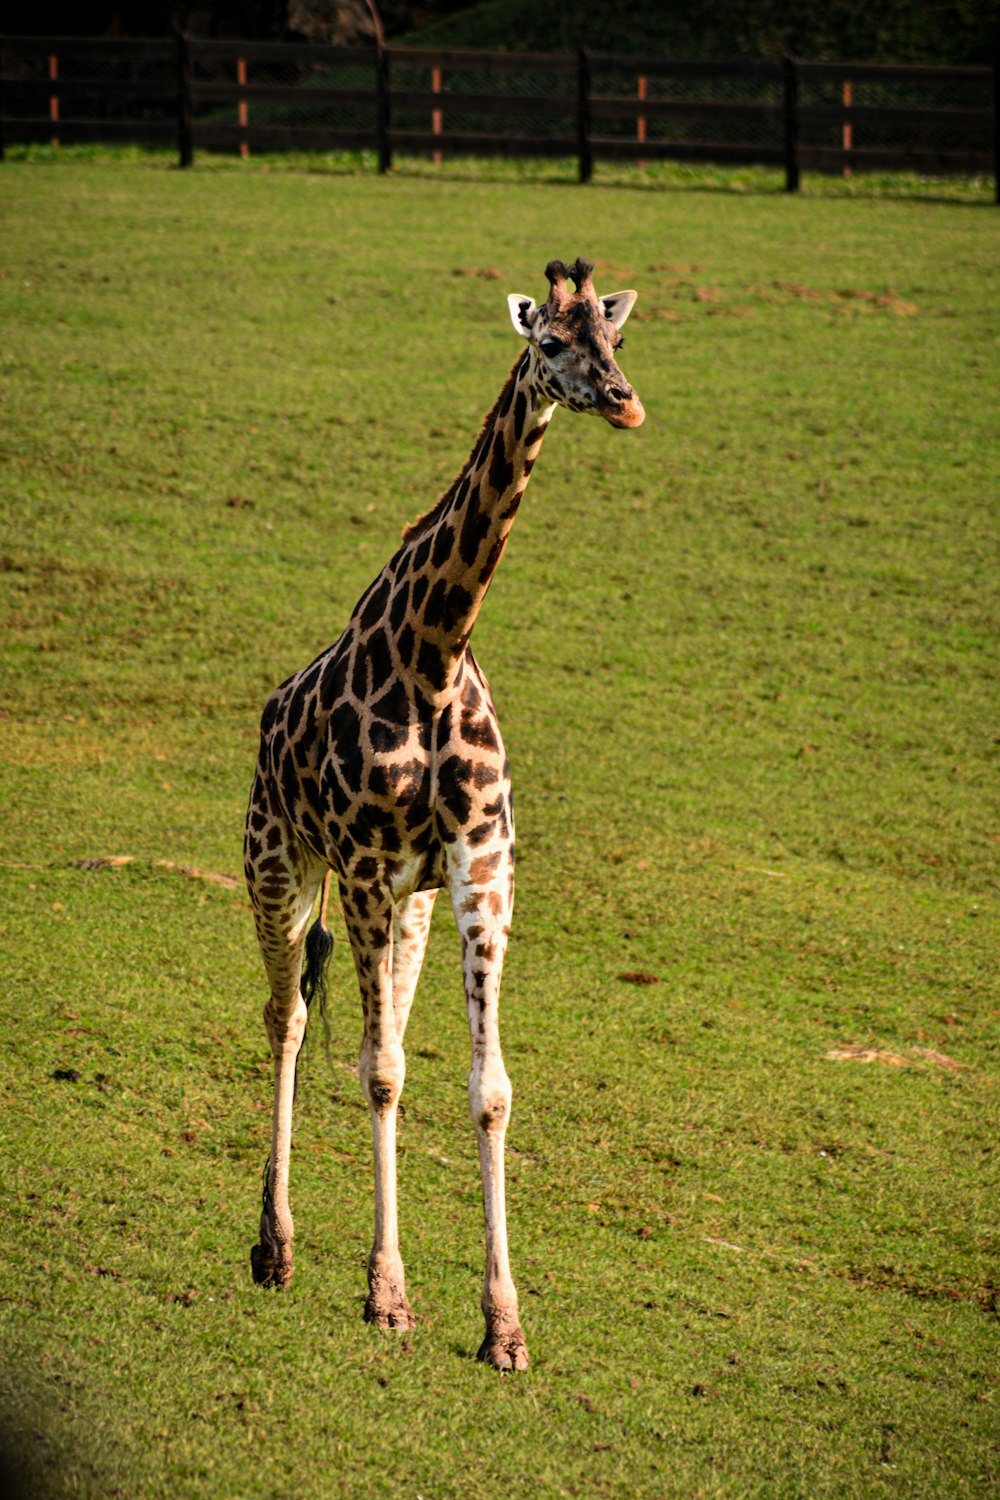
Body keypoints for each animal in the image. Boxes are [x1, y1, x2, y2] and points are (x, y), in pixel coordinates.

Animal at [245, 255, 644, 1374]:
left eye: (615, 339)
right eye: (548, 343)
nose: (623, 401)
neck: (433, 651)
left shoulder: (477, 870)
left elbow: (488, 1086)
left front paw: (504, 1326)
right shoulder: (365, 866)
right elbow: (381, 1073)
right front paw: (389, 1299)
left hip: (408, 906)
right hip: (279, 865)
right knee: (287, 1017)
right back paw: (273, 1248)